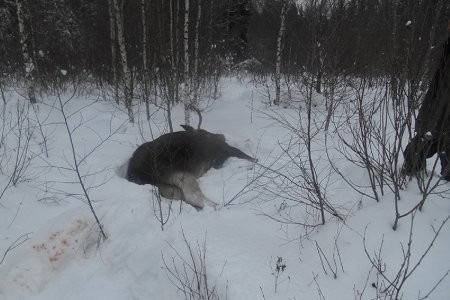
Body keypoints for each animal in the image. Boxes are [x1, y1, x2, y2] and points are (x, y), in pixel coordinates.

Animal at [125, 125, 256, 210]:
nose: (221, 136)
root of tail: (136, 174)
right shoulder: (227, 149)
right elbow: (248, 157)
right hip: (181, 173)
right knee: (194, 196)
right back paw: (219, 206)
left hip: (166, 185)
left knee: (183, 196)